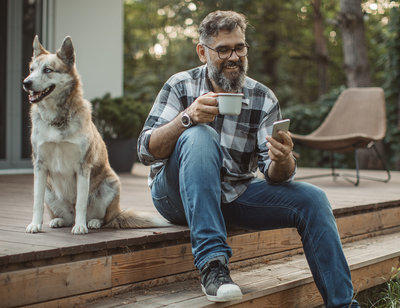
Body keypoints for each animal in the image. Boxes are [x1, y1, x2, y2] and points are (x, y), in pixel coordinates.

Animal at [23, 35, 170, 233]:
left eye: (48, 70)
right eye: (31, 70)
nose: (26, 83)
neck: (57, 120)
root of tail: (118, 212)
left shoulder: (82, 167)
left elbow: (81, 202)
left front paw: (80, 227)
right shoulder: (39, 165)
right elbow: (36, 202)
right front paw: (35, 225)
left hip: (111, 183)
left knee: (103, 217)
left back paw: (92, 222)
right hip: (49, 189)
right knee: (62, 214)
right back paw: (59, 220)